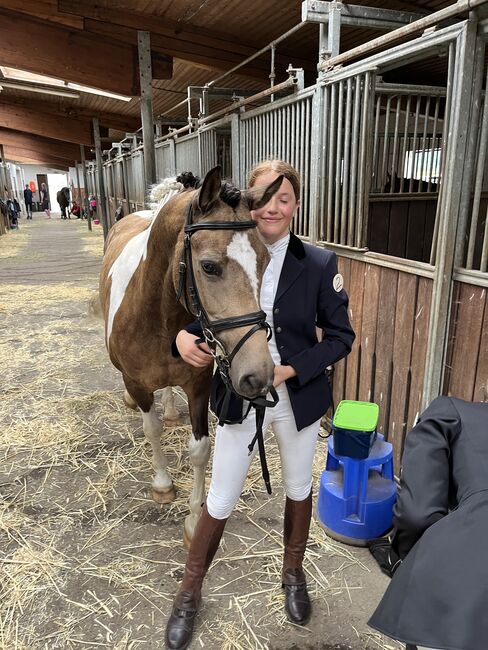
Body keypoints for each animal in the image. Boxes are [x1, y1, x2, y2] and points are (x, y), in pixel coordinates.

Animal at [98, 167, 282, 540]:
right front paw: (163, 485)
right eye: (209, 266)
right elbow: (151, 430)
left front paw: (196, 520)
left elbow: (200, 449)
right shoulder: (137, 382)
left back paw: (170, 411)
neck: (158, 317)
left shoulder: (198, 386)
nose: (258, 374)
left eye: (265, 260)